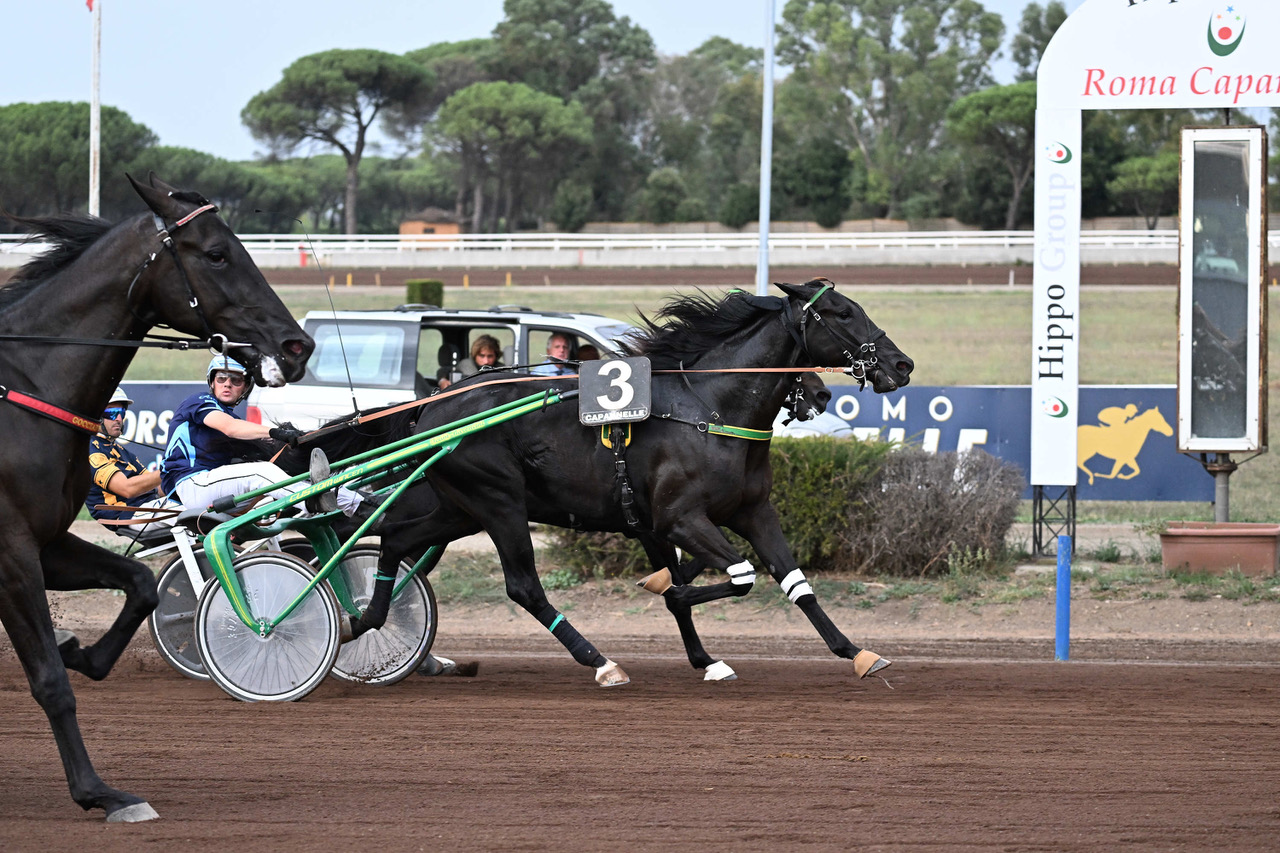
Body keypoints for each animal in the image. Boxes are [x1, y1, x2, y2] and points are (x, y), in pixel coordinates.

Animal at [0, 174, 312, 819]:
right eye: (217, 253)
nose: (298, 346)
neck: (22, 389)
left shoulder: (44, 542)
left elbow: (142, 584)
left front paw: (82, 651)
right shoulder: (10, 549)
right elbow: (49, 680)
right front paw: (97, 792)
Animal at [303, 279, 911, 686]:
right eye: (841, 312)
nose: (901, 364)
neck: (708, 410)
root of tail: (429, 408)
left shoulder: (752, 511)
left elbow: (794, 582)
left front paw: (856, 652)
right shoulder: (678, 518)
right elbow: (735, 578)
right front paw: (672, 591)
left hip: (461, 508)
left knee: (398, 539)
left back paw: (365, 622)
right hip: (499, 502)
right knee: (522, 586)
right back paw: (599, 660)